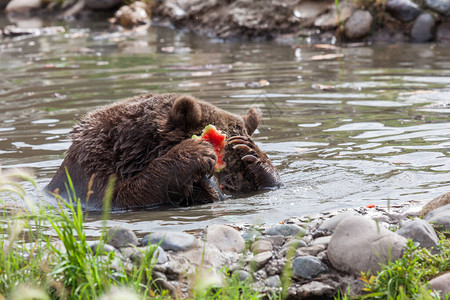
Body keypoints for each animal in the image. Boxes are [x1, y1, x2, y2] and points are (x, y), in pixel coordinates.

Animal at [48, 92, 282, 210]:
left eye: (237, 175)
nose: (223, 186)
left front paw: (251, 153)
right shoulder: (92, 168)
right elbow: (118, 196)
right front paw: (194, 152)